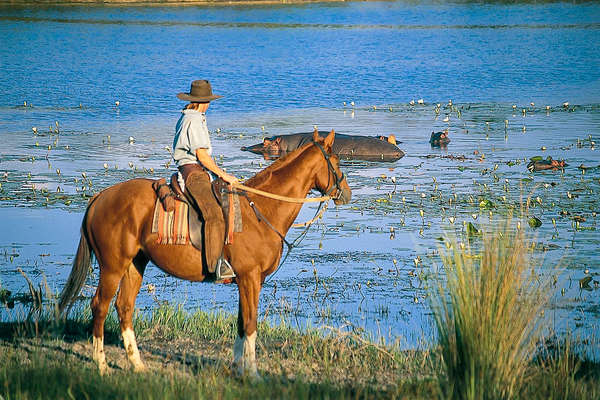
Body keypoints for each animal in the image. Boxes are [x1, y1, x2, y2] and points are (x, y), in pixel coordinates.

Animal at [56, 129, 352, 378]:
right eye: (336, 161)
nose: (346, 193)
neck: (260, 209)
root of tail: (100, 197)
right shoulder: (250, 278)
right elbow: (251, 323)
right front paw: (253, 374)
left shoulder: (246, 281)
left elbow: (241, 323)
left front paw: (238, 369)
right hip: (112, 267)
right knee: (100, 306)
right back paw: (102, 365)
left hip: (134, 265)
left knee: (124, 307)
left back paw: (137, 364)